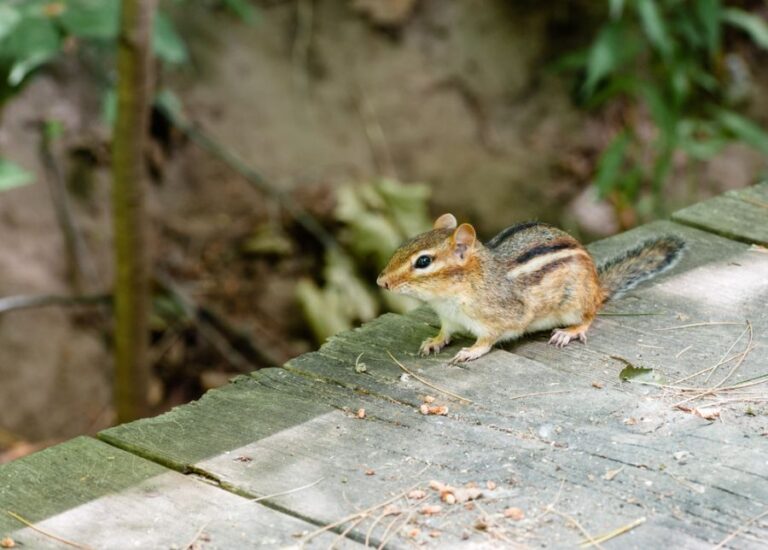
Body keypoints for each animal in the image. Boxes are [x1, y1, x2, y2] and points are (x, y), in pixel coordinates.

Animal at [377, 213, 685, 363]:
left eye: (423, 261)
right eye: (405, 244)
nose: (382, 281)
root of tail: (598, 287)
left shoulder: (500, 318)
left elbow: (488, 340)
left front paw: (471, 351)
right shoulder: (449, 319)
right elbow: (445, 332)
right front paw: (434, 341)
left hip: (575, 302)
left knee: (590, 316)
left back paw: (569, 332)